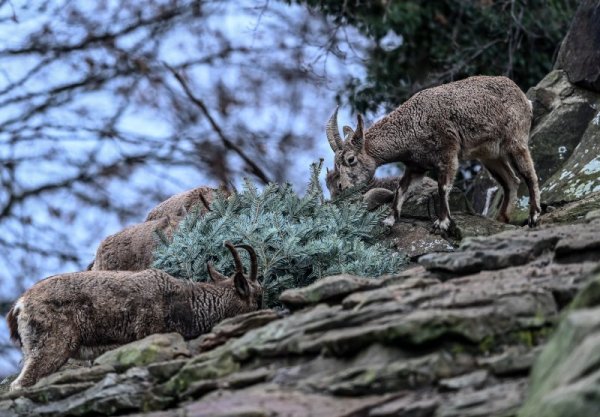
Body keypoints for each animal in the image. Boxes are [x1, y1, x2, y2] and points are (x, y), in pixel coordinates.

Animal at [5, 240, 262, 390]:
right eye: (256, 297)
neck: (184, 302)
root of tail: (20, 305)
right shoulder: (148, 332)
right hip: (51, 347)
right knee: (20, 385)